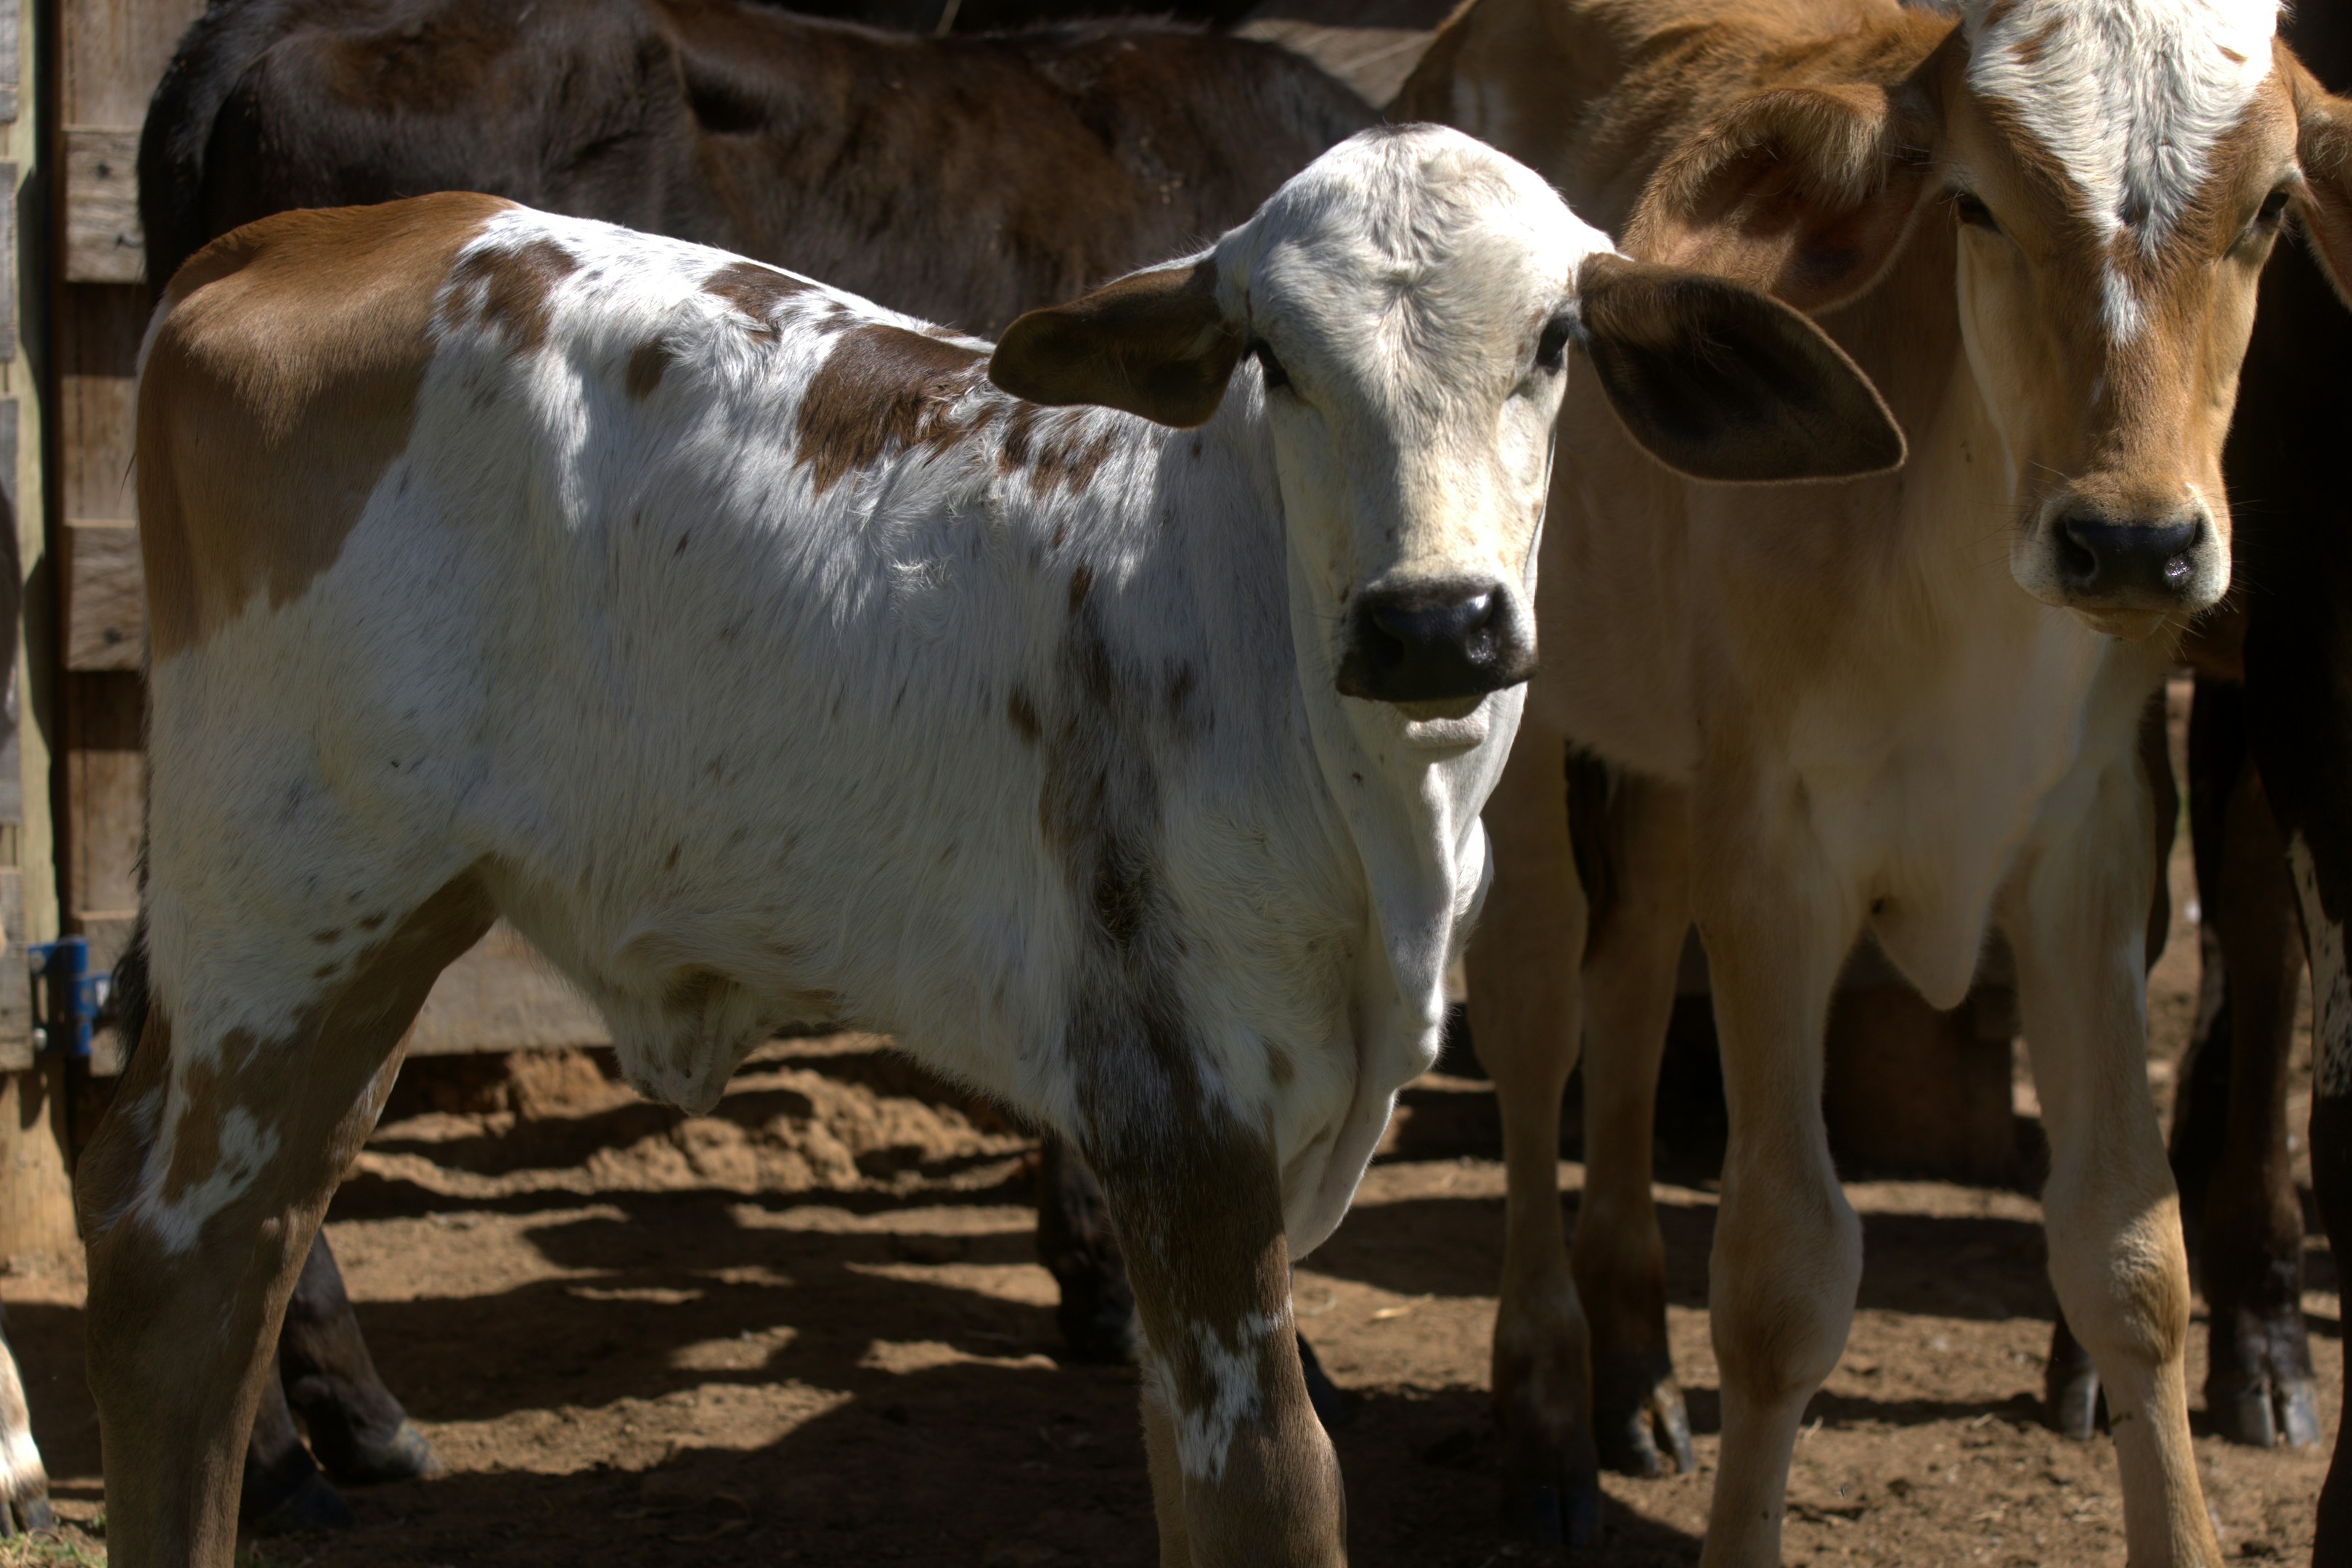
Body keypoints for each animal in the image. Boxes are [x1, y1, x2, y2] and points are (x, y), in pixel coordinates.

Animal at [78, 126, 1900, 1565]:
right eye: (1275, 355)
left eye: (1552, 338)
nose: (1430, 622)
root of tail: (300, 244)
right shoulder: (1180, 1122)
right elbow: (1270, 1486)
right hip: (296, 915)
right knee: (179, 1283)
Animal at [1395, 0, 2352, 1559]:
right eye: (1974, 203)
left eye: (2273, 207)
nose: (2132, 543)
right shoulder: (1777, 851)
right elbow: (1783, 1279)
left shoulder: (2089, 843)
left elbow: (2129, 1252)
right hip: (1524, 700)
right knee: (1537, 1007)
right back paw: (1544, 1414)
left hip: (1672, 766)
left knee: (1632, 980)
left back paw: (1634, 1373)